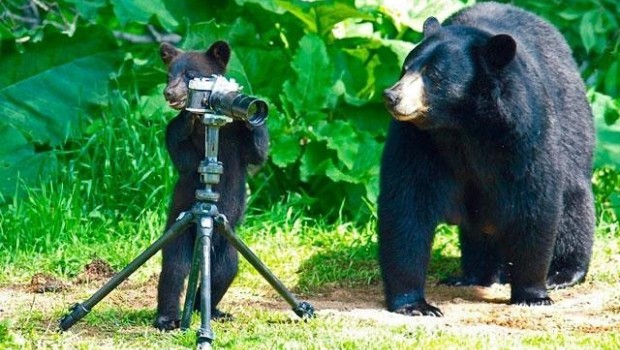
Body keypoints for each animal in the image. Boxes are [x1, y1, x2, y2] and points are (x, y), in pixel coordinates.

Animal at [155, 41, 268, 328]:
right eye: (169, 75)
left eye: (190, 75)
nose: (169, 93)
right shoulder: (179, 140)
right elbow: (184, 158)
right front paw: (188, 118)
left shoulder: (238, 142)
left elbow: (258, 153)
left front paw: (251, 116)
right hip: (180, 232)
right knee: (174, 270)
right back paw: (167, 318)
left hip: (227, 249)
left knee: (223, 274)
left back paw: (211, 311)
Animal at [378, 0, 596, 318]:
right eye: (405, 68)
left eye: (434, 76)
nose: (391, 96)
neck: (463, 126)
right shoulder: (417, 141)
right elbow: (407, 204)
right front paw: (415, 305)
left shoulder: (523, 132)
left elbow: (534, 202)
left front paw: (532, 294)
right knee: (478, 229)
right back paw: (473, 275)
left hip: (573, 122)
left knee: (573, 200)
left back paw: (563, 273)